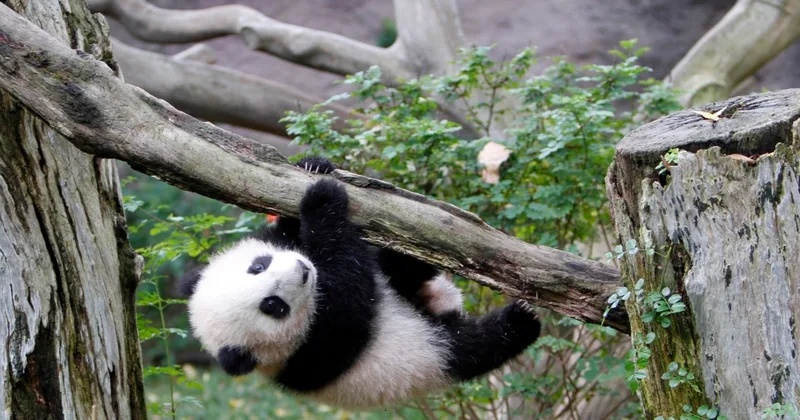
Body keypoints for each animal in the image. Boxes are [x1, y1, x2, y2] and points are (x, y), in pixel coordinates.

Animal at [178, 156, 542, 409]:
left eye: (258, 266)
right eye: (273, 306)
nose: (303, 269)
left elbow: (288, 233)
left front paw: (314, 167)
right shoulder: (312, 352)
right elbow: (353, 295)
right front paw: (323, 199)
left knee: (397, 269)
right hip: (429, 355)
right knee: (475, 346)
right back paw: (520, 321)